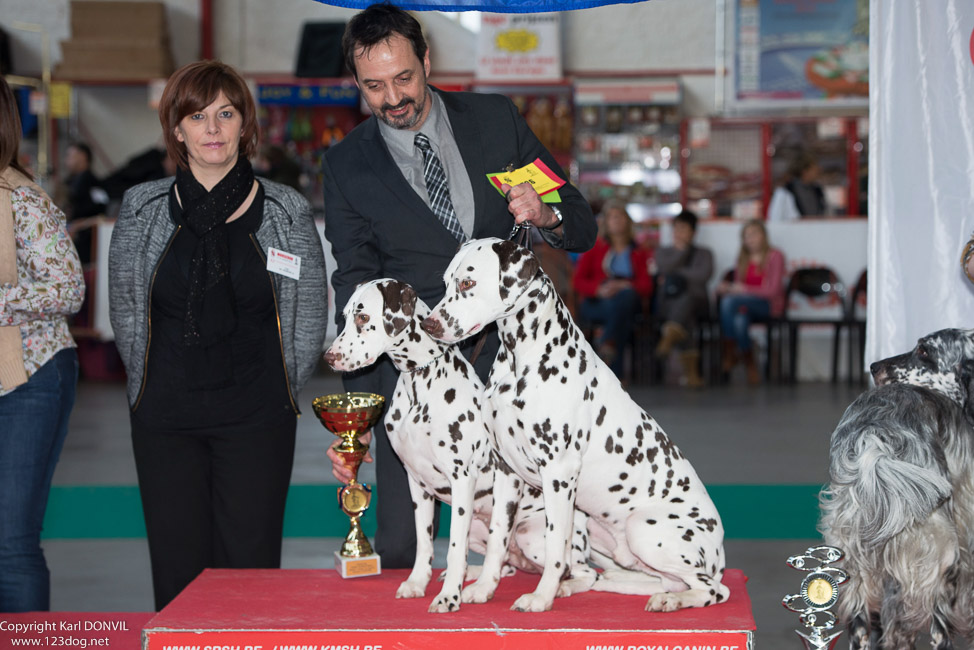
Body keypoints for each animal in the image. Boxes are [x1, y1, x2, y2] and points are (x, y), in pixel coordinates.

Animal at [324, 278, 600, 612]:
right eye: (344, 316)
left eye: (363, 317)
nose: (329, 357)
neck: (420, 385)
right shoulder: (416, 483)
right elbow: (424, 543)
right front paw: (418, 582)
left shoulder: (461, 480)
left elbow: (454, 548)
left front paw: (448, 598)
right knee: (503, 562)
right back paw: (477, 576)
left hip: (536, 535)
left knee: (582, 570)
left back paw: (561, 587)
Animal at [424, 235, 728, 612]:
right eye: (446, 281)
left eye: (467, 283)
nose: (429, 325)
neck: (524, 360)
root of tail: (720, 549)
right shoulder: (505, 470)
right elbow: (497, 538)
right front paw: (483, 588)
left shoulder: (558, 473)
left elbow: (557, 545)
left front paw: (541, 597)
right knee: (644, 579)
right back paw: (617, 585)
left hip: (644, 529)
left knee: (712, 588)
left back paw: (670, 600)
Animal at [824, 330, 974, 648]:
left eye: (925, 352)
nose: (874, 367)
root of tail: (874, 439)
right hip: (938, 552)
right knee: (937, 629)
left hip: (856, 555)